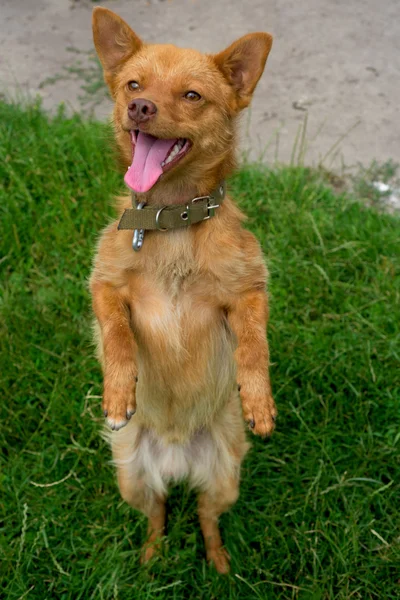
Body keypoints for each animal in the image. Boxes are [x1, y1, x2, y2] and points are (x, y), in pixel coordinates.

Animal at [90, 7, 276, 576]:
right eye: (133, 84)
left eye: (192, 95)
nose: (139, 107)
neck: (171, 222)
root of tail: (175, 459)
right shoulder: (104, 287)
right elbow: (117, 336)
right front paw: (118, 390)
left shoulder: (247, 292)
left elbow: (254, 345)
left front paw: (258, 398)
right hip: (132, 478)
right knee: (158, 513)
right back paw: (151, 558)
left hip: (225, 479)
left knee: (204, 516)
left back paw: (219, 564)